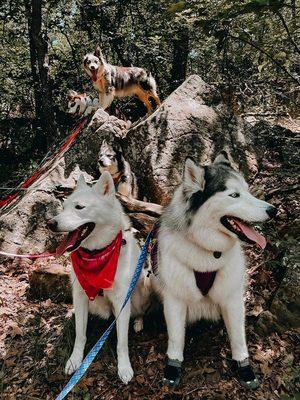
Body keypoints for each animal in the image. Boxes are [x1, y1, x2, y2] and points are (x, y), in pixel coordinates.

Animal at [51, 173, 152, 382]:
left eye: (79, 207)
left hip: (143, 287)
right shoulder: (80, 296)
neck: (97, 254)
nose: (50, 223)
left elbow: (122, 342)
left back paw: (138, 322)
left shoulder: (122, 301)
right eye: (63, 208)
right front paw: (75, 361)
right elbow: (80, 335)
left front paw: (124, 367)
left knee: (141, 311)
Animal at [154, 155, 278, 390]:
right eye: (234, 195)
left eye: (248, 191)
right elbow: (176, 338)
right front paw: (173, 366)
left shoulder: (232, 298)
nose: (273, 210)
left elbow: (238, 337)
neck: (209, 252)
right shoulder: (174, 298)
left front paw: (244, 367)